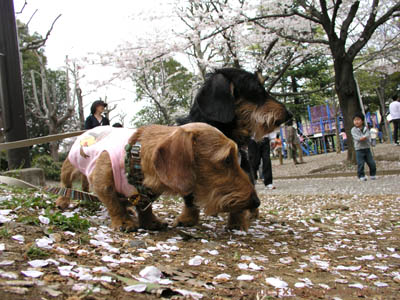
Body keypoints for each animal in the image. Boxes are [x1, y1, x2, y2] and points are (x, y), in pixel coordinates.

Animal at [55, 123, 260, 231]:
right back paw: (63, 201)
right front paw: (123, 221)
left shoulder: (144, 195)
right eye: (227, 159)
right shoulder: (102, 183)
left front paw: (150, 221)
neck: (134, 157)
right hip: (70, 167)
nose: (256, 201)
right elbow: (112, 203)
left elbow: (144, 207)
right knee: (66, 184)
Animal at [175, 67, 290, 230]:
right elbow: (190, 200)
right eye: (256, 89)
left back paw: (252, 213)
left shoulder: (243, 170)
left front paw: (237, 223)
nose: (289, 114)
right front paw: (187, 219)